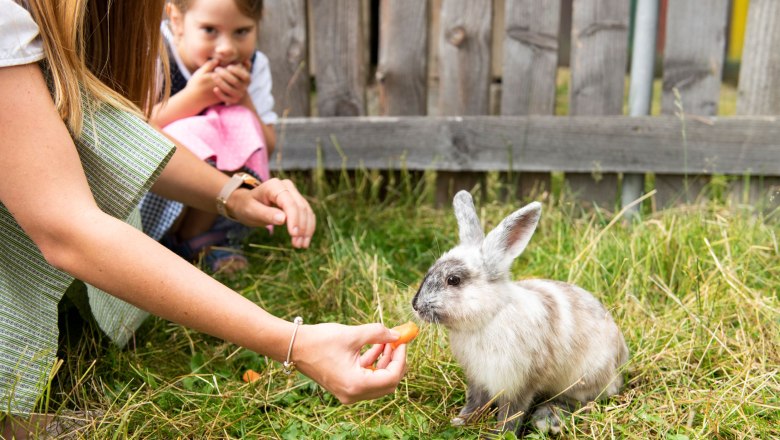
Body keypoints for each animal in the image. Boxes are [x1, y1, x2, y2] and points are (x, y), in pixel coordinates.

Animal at [412, 191, 632, 434]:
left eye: (453, 280)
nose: (416, 305)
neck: (489, 317)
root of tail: (620, 363)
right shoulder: (478, 379)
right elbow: (476, 401)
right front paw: (461, 420)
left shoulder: (519, 383)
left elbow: (511, 413)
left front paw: (499, 435)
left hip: (583, 380)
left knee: (580, 401)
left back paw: (549, 419)